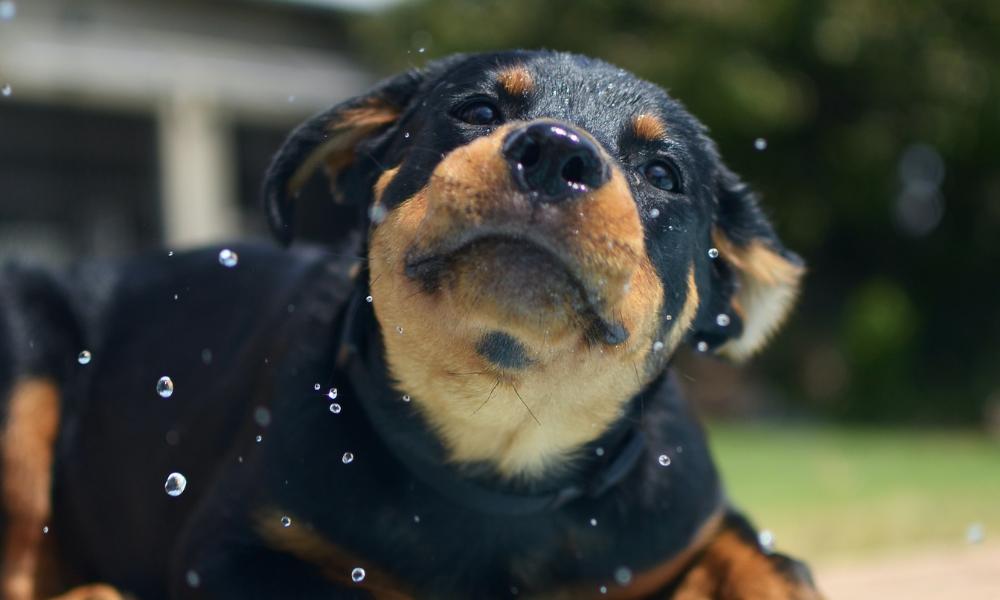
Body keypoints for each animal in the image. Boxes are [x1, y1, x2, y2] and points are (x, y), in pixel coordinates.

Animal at [0, 51, 820, 600]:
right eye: (478, 111)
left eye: (662, 174)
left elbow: (774, 567)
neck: (497, 449)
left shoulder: (691, 519)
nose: (556, 152)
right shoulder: (227, 552)